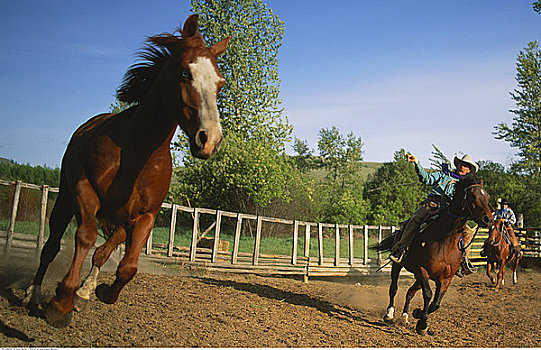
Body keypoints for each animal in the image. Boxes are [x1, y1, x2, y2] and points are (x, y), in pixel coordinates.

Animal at [24, 15, 228, 328]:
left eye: (220, 83)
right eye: (185, 73)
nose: (210, 140)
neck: (137, 151)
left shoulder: (146, 216)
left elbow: (127, 266)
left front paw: (97, 292)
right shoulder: (85, 191)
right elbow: (84, 237)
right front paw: (60, 303)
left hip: (120, 220)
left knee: (103, 251)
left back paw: (84, 292)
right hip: (65, 200)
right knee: (51, 247)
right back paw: (34, 294)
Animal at [374, 176, 492, 334]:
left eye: (488, 196)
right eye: (473, 195)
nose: (488, 219)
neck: (445, 241)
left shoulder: (445, 279)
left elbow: (436, 303)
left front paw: (418, 315)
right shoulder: (422, 270)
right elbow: (428, 294)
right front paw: (422, 323)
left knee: (410, 292)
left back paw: (405, 316)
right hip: (398, 266)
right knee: (394, 288)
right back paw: (389, 314)